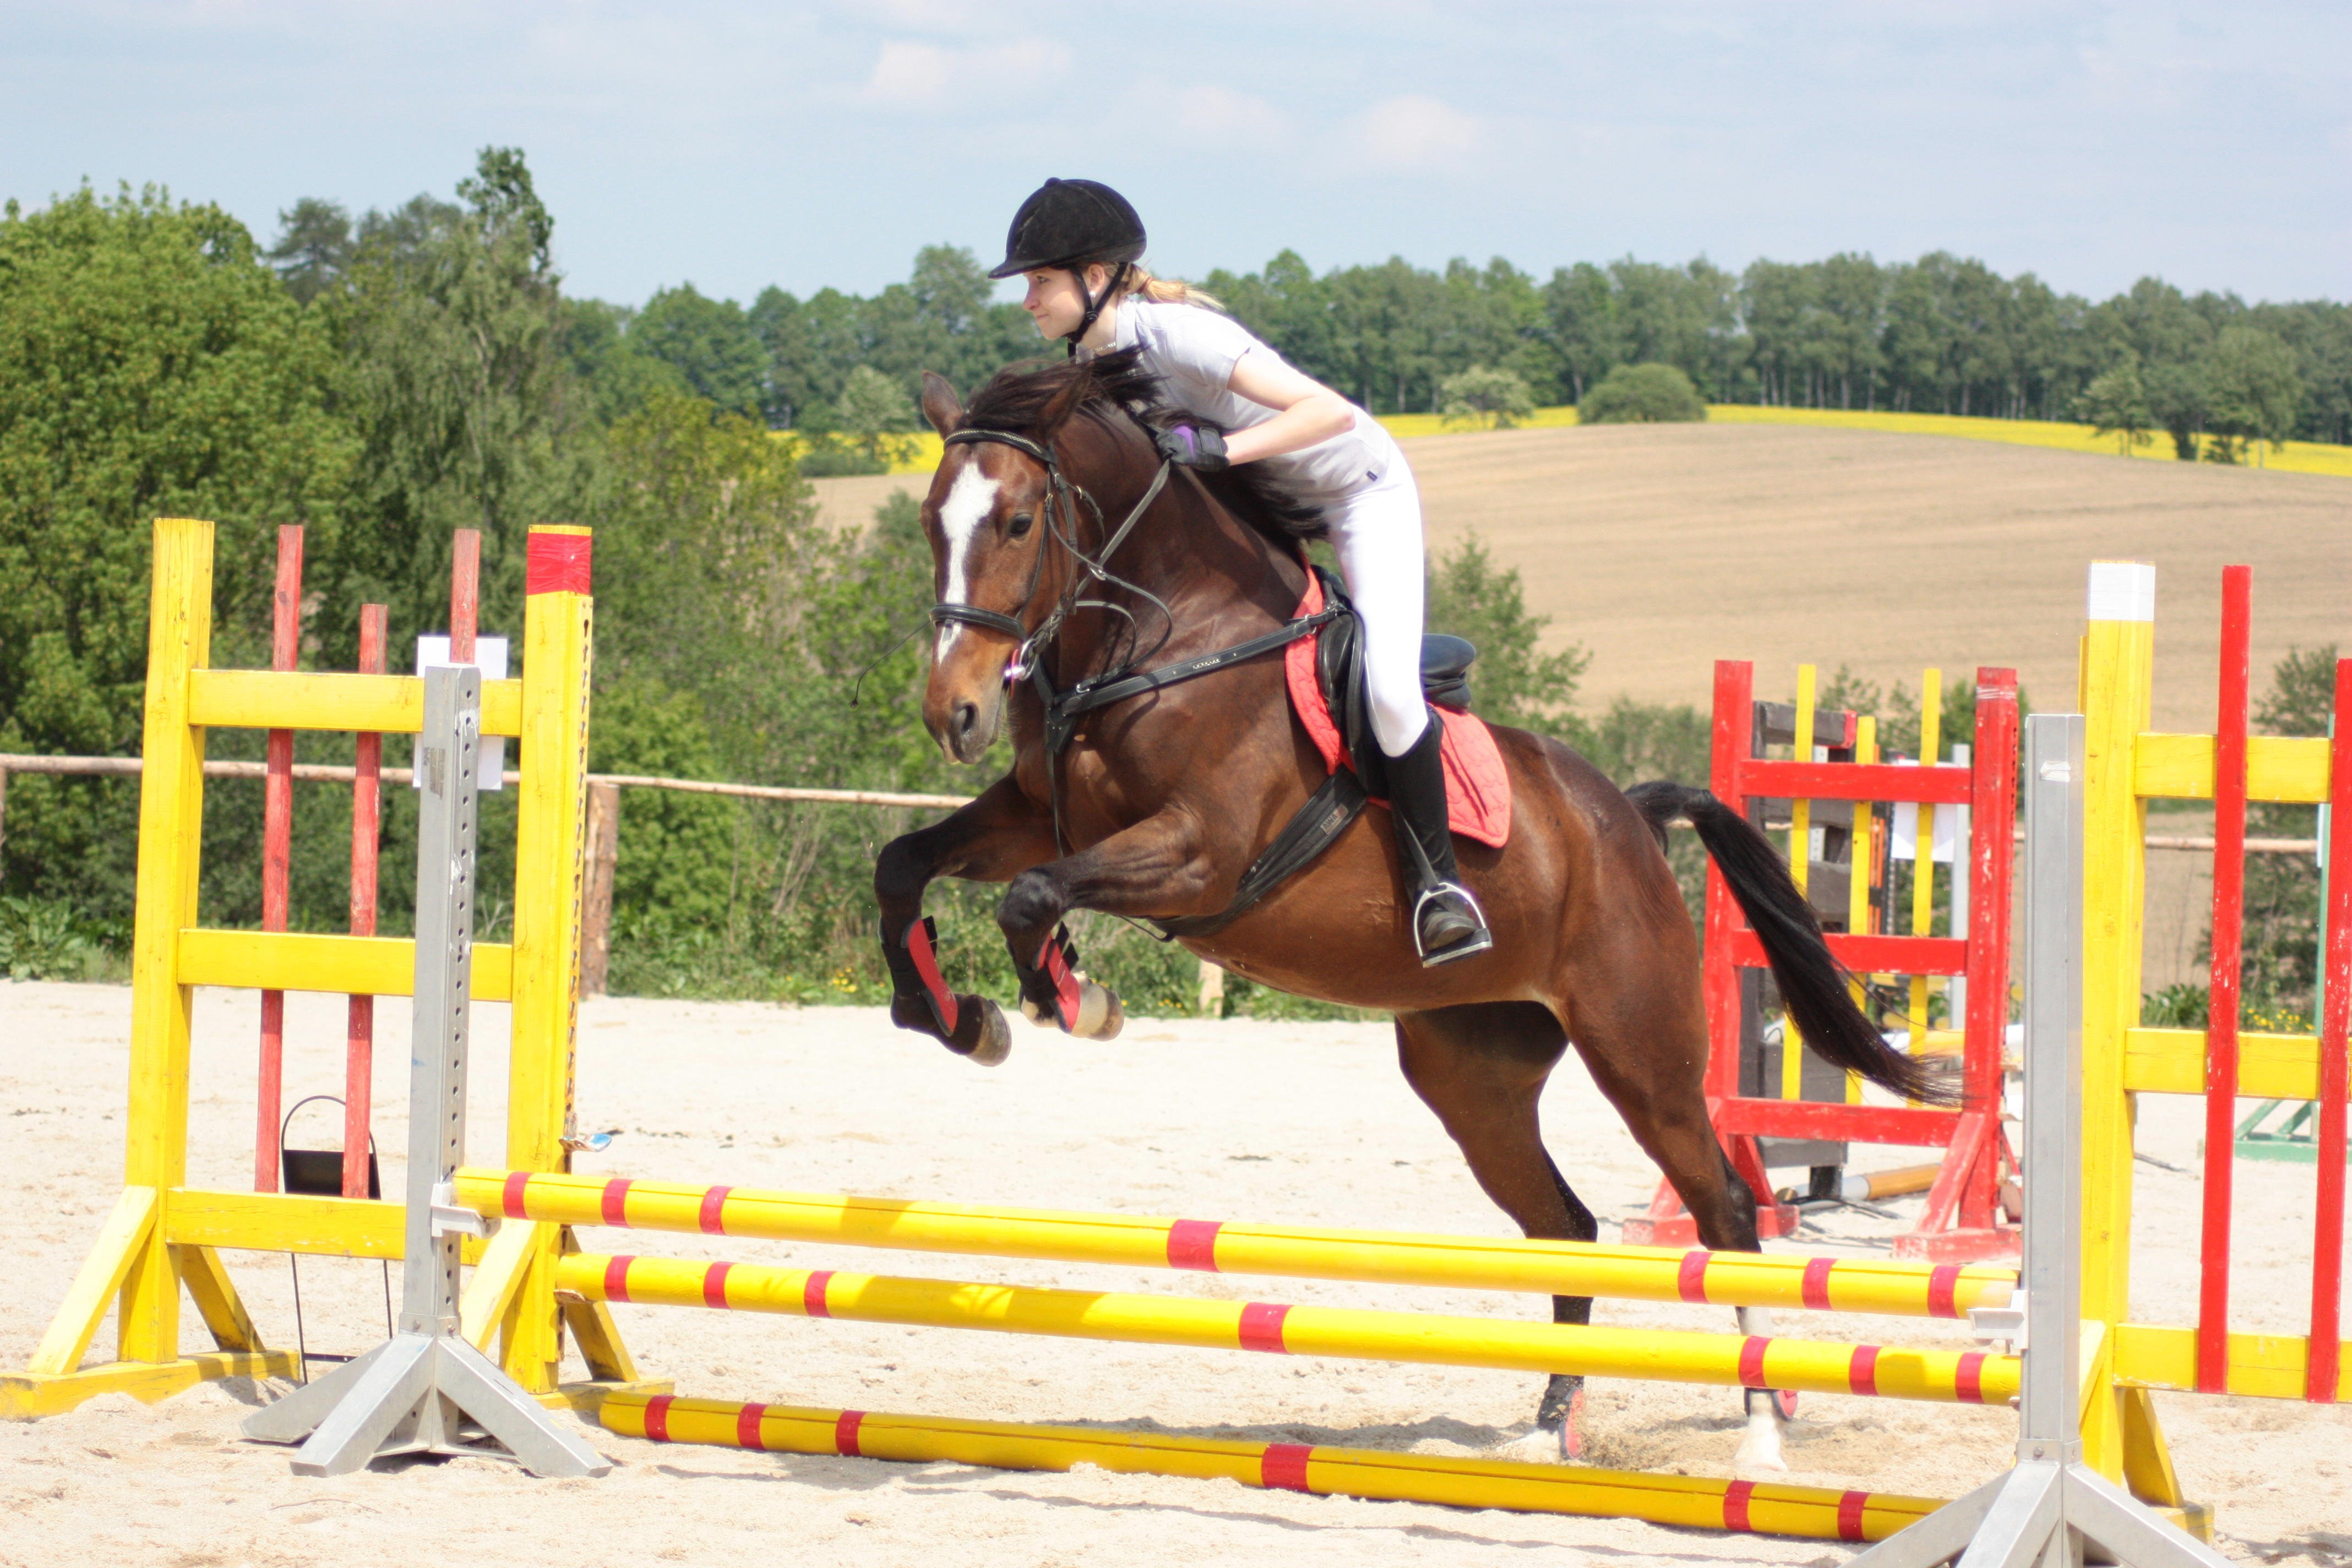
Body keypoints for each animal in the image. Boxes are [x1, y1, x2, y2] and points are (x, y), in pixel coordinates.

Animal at [879, 352, 1947, 1476]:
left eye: (1018, 521)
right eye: (930, 521)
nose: (953, 714)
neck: (1161, 635)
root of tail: (1628, 820)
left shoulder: (1200, 853)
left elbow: (1032, 896)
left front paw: (1069, 1000)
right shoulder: (1032, 816)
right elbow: (906, 865)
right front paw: (957, 1018)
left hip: (1640, 1054)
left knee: (1727, 1213)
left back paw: (1760, 1433)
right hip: (1471, 1076)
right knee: (1565, 1226)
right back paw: (1547, 1429)